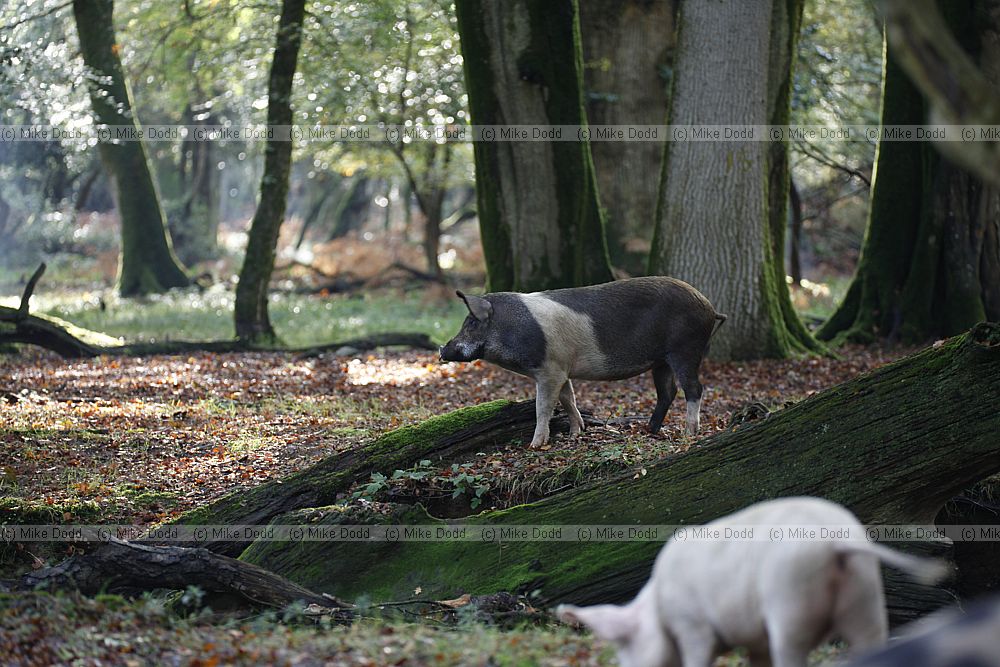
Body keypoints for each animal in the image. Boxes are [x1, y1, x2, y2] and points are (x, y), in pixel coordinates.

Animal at [439, 277, 726, 446]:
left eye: (471, 323)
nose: (443, 350)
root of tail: (709, 306)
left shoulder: (550, 369)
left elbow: (544, 407)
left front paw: (535, 445)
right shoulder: (561, 369)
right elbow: (569, 399)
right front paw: (576, 433)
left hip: (685, 349)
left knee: (694, 389)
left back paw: (689, 433)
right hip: (661, 361)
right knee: (668, 392)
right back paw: (649, 430)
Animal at [557, 497, 947, 667]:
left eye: (627, 646)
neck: (658, 606)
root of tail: (837, 541)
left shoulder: (693, 625)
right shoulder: (753, 639)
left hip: (790, 596)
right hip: (866, 595)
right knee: (871, 641)